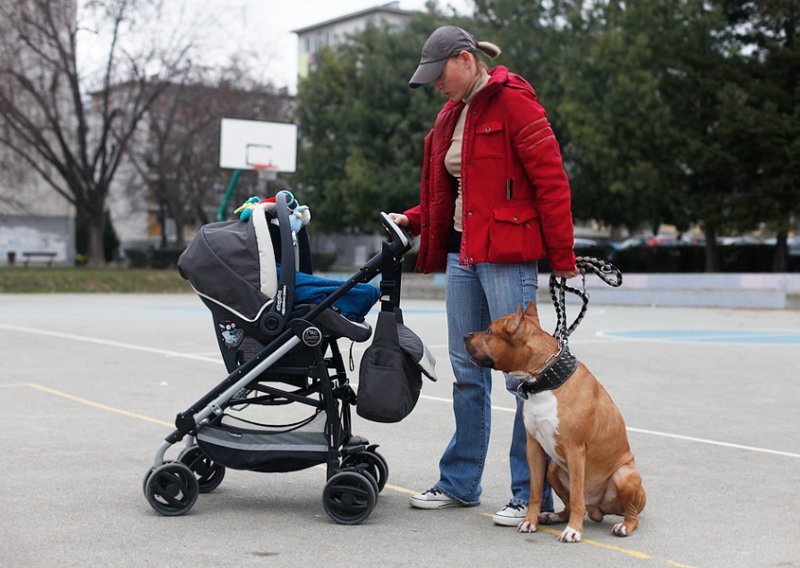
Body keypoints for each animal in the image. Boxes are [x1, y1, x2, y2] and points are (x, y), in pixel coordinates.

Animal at [462, 302, 644, 540]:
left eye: (490, 330)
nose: (465, 335)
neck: (545, 381)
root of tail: (598, 508)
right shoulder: (534, 447)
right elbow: (535, 491)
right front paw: (530, 521)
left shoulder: (576, 451)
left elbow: (576, 497)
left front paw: (574, 531)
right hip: (554, 470)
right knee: (569, 503)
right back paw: (554, 516)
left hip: (624, 475)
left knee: (629, 512)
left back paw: (624, 526)